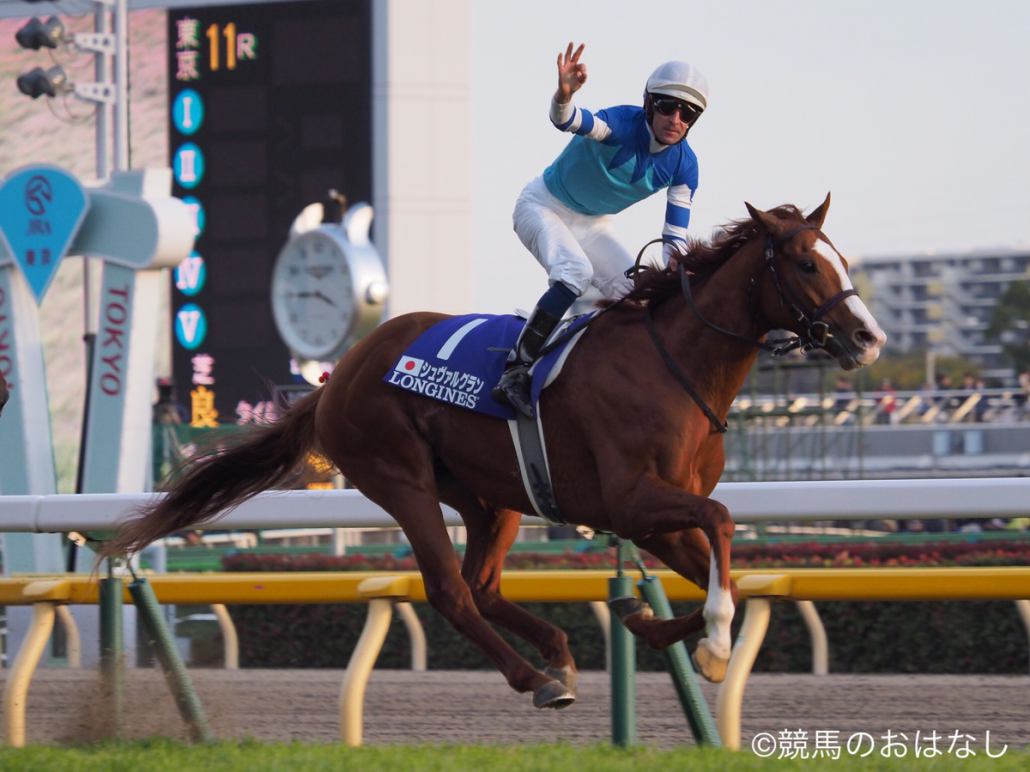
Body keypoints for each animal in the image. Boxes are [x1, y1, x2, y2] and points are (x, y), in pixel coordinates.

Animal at [104, 193, 885, 709]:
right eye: (805, 265)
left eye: (841, 258)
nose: (868, 337)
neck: (672, 366)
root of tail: (337, 378)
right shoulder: (633, 502)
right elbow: (723, 524)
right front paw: (714, 646)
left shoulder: (655, 516)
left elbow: (731, 576)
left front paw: (649, 622)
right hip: (401, 478)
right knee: (451, 590)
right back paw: (534, 677)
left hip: (491, 496)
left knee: (481, 583)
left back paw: (559, 656)